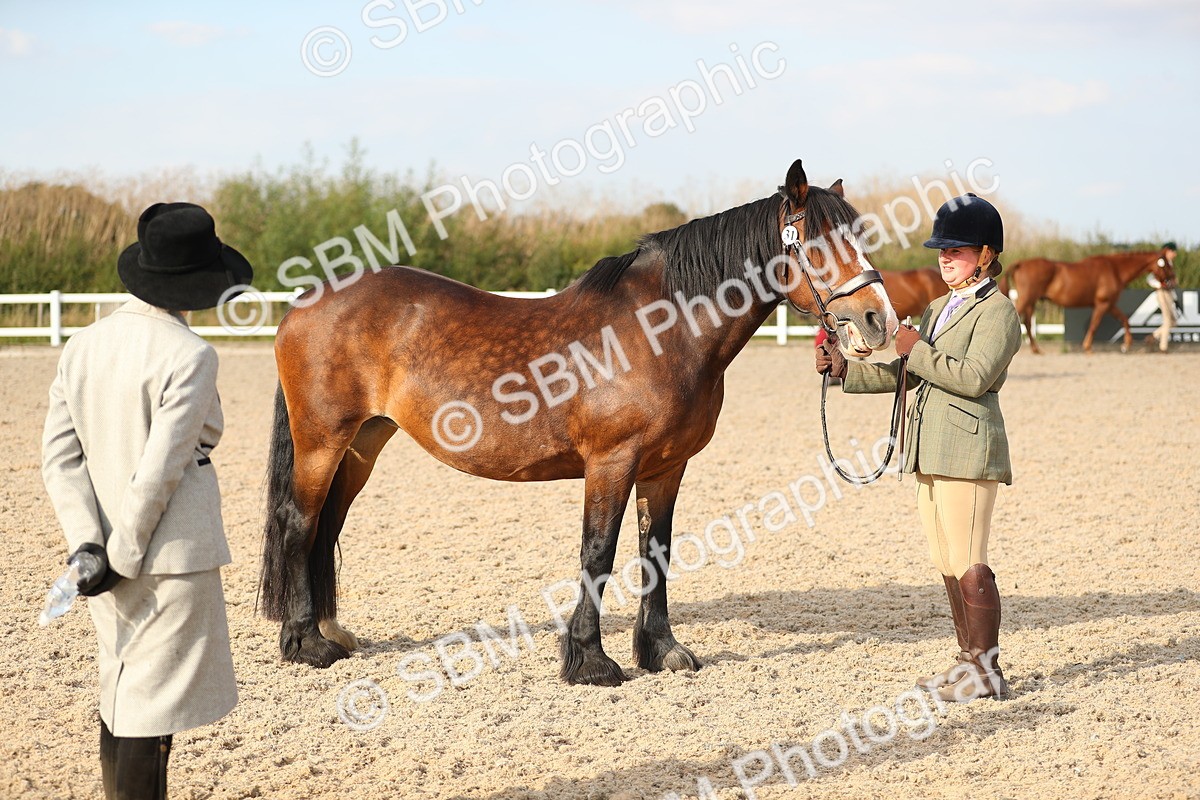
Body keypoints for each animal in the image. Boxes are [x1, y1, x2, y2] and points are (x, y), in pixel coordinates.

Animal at [258, 158, 899, 686]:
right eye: (816, 244)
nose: (878, 320)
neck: (661, 329)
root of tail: (303, 304)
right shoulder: (612, 461)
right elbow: (599, 551)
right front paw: (590, 660)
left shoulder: (666, 467)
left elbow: (655, 551)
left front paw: (662, 651)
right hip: (322, 442)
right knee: (298, 522)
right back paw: (306, 643)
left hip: (363, 442)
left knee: (327, 526)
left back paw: (332, 633)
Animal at [1000, 248, 1176, 353]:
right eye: (1166, 264)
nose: (1173, 280)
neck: (1114, 269)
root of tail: (1021, 263)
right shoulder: (1103, 304)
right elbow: (1094, 325)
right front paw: (1088, 347)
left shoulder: (1110, 305)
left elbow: (1125, 320)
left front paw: (1126, 345)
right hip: (1027, 299)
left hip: (1032, 301)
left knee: (1028, 323)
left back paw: (1036, 349)